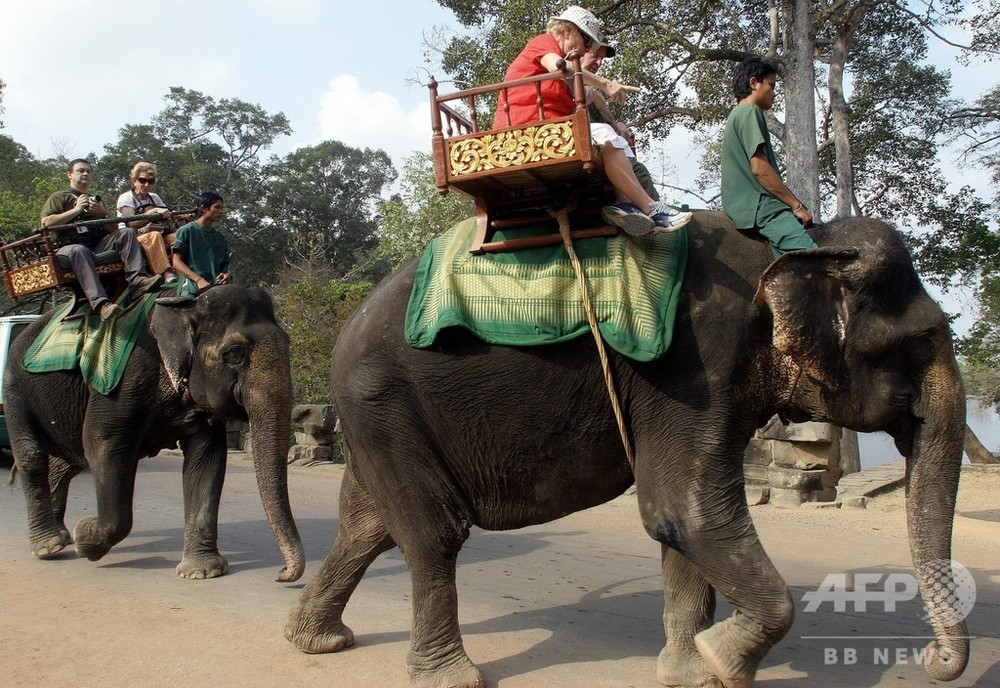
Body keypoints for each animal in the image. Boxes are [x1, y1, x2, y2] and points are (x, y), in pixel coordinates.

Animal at [4, 284, 304, 580]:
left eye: (287, 343)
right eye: (234, 353)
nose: (281, 573)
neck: (186, 306)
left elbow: (206, 458)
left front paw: (201, 571)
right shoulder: (122, 382)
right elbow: (102, 443)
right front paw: (84, 538)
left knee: (68, 461)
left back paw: (61, 538)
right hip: (14, 388)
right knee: (34, 456)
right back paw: (49, 545)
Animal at [284, 212, 968, 684]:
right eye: (921, 341)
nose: (933, 659)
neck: (803, 240)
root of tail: (345, 331)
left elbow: (682, 521)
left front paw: (691, 671)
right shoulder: (696, 365)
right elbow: (684, 510)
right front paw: (722, 660)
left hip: (378, 414)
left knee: (367, 525)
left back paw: (316, 641)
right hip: (382, 401)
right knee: (433, 532)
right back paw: (450, 678)